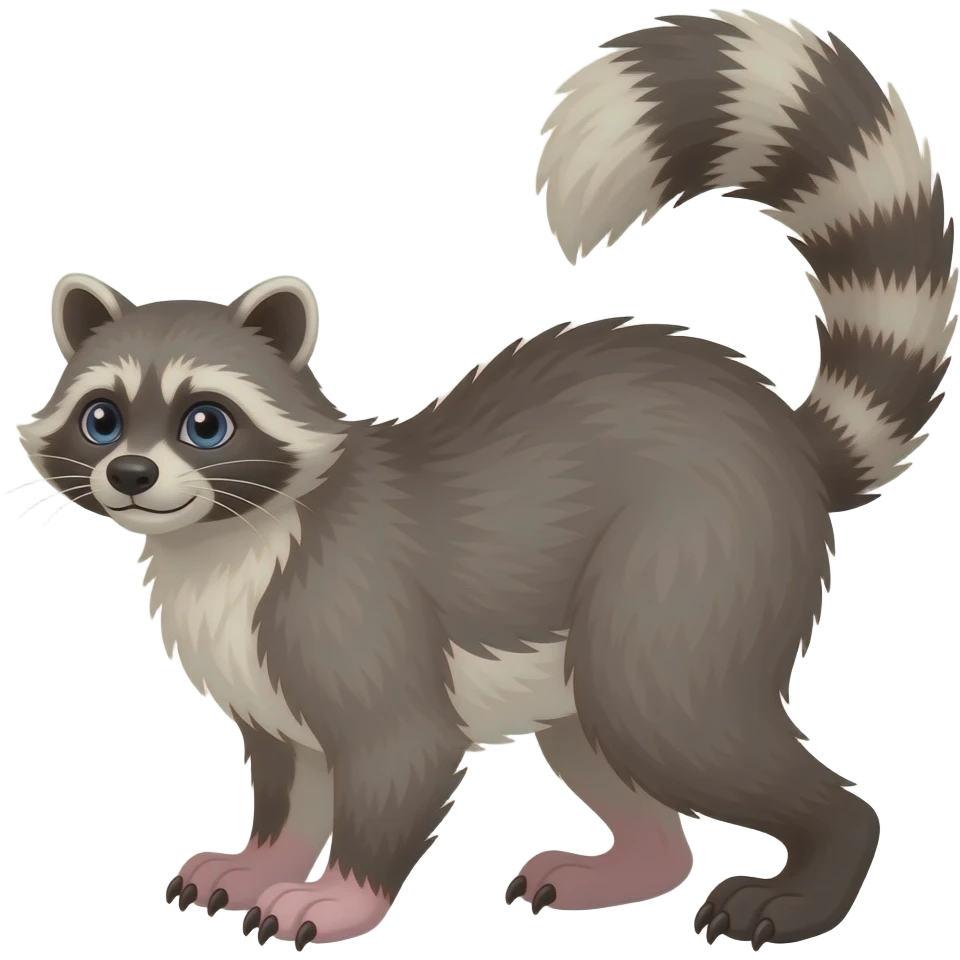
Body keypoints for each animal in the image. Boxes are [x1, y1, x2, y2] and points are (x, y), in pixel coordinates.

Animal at [12, 9, 956, 952]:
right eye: (102, 418)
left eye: (205, 423)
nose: (131, 473)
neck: (224, 541)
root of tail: (789, 441)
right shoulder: (264, 687)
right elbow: (292, 779)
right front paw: (260, 861)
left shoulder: (349, 612)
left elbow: (402, 754)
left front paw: (340, 895)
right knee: (601, 746)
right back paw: (634, 864)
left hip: (691, 563)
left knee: (672, 714)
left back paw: (813, 873)